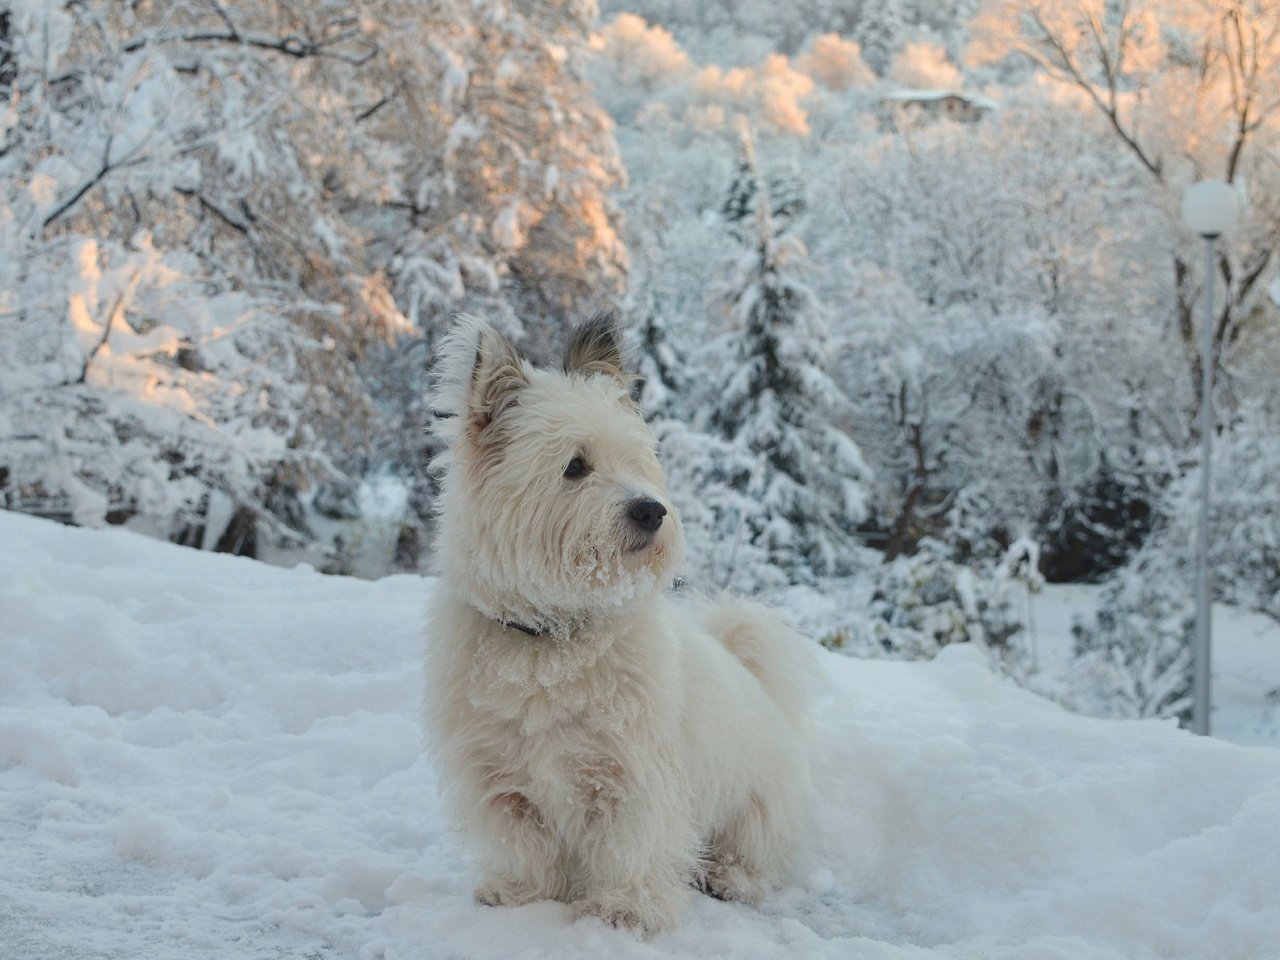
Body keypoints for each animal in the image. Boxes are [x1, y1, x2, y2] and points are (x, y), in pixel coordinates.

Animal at [424, 316, 814, 942]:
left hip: (756, 809)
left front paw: (624, 911)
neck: (552, 636)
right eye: (575, 465)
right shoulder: (498, 778)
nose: (652, 511)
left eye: (636, 461)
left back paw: (730, 878)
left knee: (757, 859)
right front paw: (519, 895)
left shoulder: (634, 774)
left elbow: (630, 847)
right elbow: (523, 845)